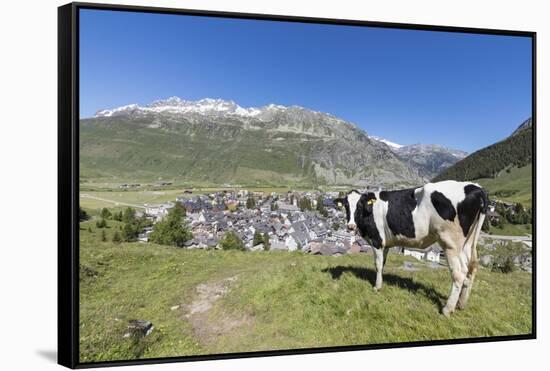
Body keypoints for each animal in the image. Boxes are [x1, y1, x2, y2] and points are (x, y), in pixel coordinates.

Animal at [334, 181, 490, 316]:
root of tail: (476, 187)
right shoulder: (386, 244)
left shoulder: (378, 241)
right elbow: (383, 264)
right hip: (467, 242)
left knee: (459, 272)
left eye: (360, 205)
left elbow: (377, 265)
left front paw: (377, 287)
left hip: (451, 243)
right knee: (471, 268)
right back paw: (461, 304)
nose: (350, 226)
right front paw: (381, 283)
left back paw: (447, 309)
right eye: (346, 205)